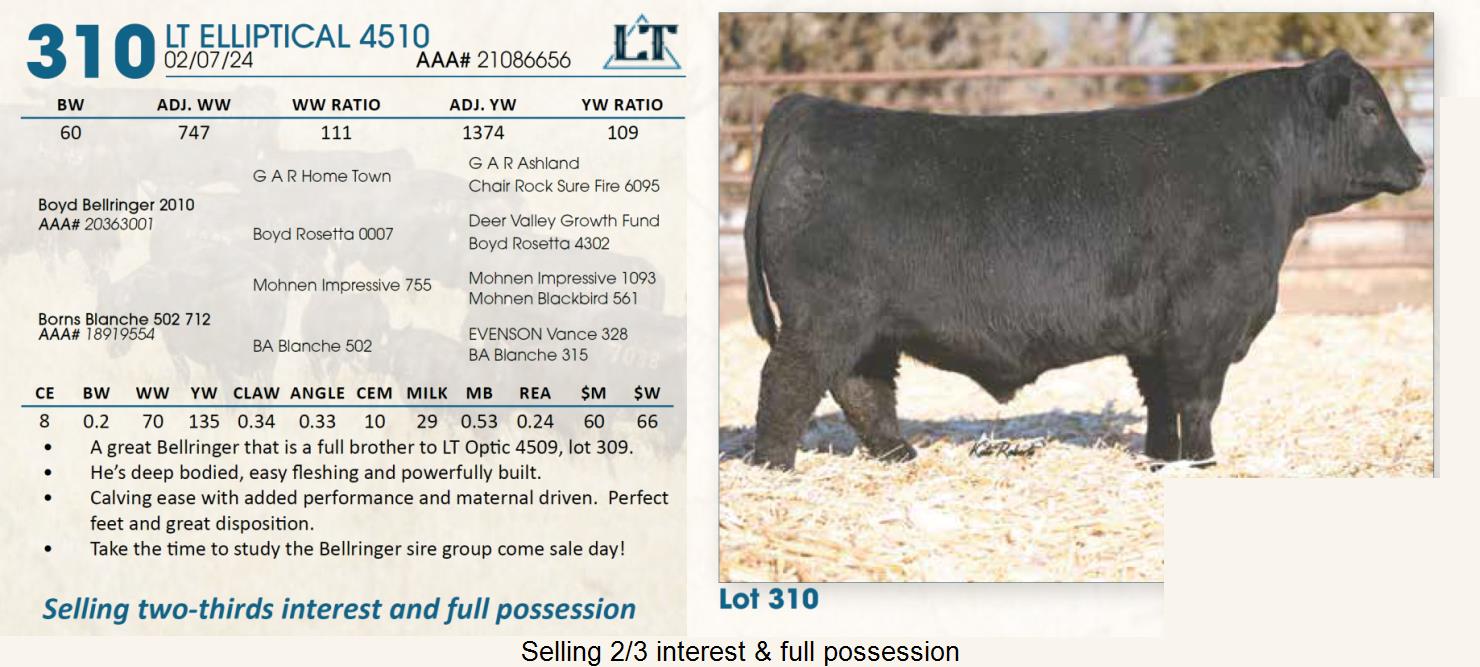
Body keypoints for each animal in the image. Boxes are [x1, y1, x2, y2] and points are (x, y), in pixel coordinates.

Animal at [742, 50, 1426, 471]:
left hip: (870, 326)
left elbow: (1162, 401)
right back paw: (775, 467)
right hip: (823, 316)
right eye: (1370, 110)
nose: (1420, 165)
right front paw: (1203, 463)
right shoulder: (1207, 318)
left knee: (863, 387)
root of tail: (811, 107)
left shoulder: (1157, 332)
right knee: (789, 382)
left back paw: (899, 455)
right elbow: (1198, 400)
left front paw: (1163, 460)